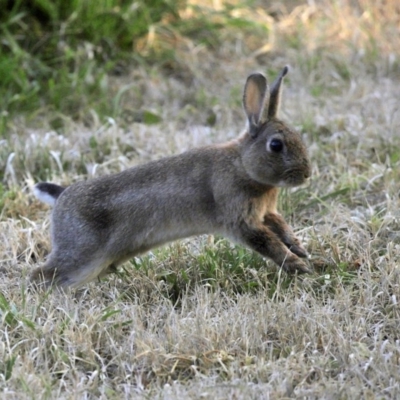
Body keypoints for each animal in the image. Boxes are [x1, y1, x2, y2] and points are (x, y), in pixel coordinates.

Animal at [32, 67, 312, 290]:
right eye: (275, 145)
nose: (306, 174)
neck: (243, 165)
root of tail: (61, 196)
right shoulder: (241, 220)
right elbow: (269, 243)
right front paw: (299, 266)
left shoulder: (266, 212)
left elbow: (281, 228)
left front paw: (300, 250)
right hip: (82, 253)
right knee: (41, 275)